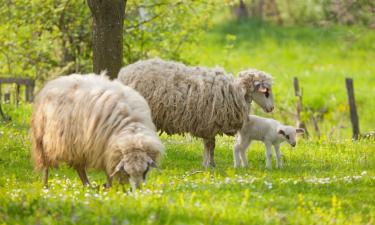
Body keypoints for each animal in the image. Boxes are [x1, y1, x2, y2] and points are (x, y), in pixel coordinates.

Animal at [30, 73, 163, 190]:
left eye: (145, 170)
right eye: (127, 172)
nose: (139, 190)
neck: (131, 130)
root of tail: (55, 81)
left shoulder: (108, 151)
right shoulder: (103, 149)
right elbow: (109, 173)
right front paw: (110, 188)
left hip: (77, 145)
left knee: (79, 168)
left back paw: (88, 186)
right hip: (43, 139)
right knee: (46, 165)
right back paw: (45, 186)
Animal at [119, 58, 274, 167]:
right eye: (266, 92)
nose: (272, 108)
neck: (236, 92)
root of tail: (124, 72)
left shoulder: (210, 125)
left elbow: (210, 146)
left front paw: (209, 164)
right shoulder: (209, 123)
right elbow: (210, 146)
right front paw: (209, 165)